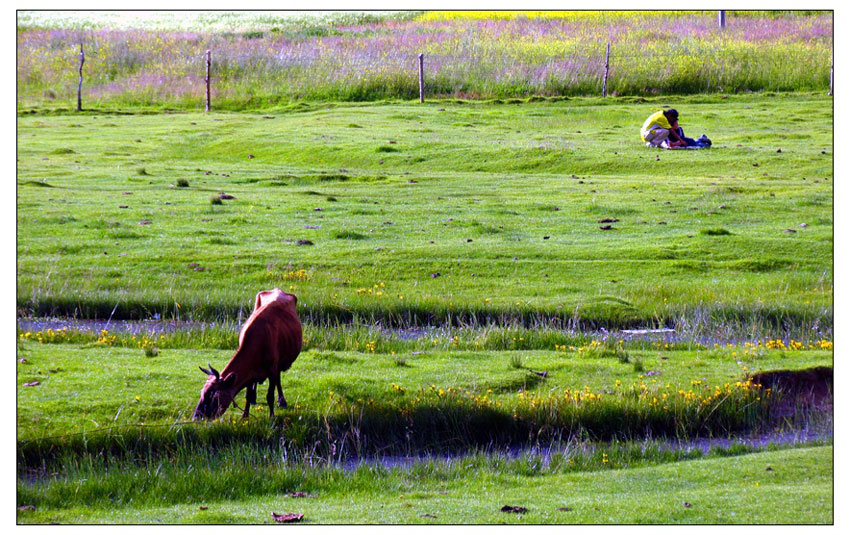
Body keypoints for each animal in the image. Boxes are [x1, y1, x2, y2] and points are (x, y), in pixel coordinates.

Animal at [192, 292, 302, 420]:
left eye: (213, 396)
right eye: (202, 392)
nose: (196, 416)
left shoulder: (272, 368)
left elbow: (270, 395)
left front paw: (271, 417)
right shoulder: (250, 372)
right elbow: (248, 395)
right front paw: (244, 416)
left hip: (278, 363)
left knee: (278, 380)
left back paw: (282, 401)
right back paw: (255, 399)